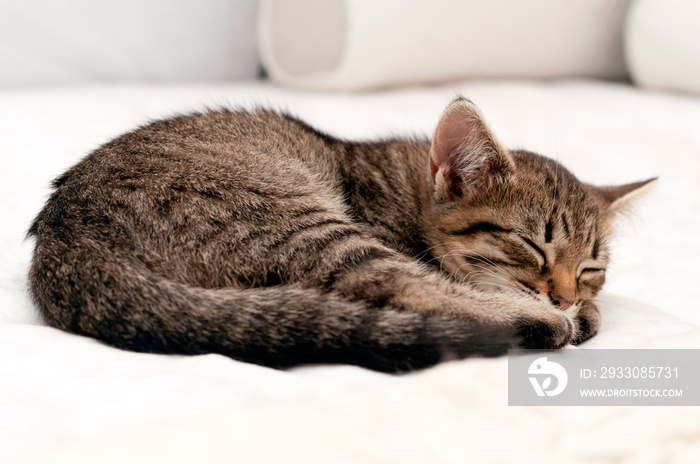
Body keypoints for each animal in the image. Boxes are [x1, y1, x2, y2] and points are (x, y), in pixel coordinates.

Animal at [26, 99, 652, 374]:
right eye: (533, 245)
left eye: (591, 268)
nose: (566, 296)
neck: (407, 188)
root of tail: (64, 241)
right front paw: (570, 315)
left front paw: (587, 307)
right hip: (299, 222)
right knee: (404, 287)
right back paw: (541, 323)